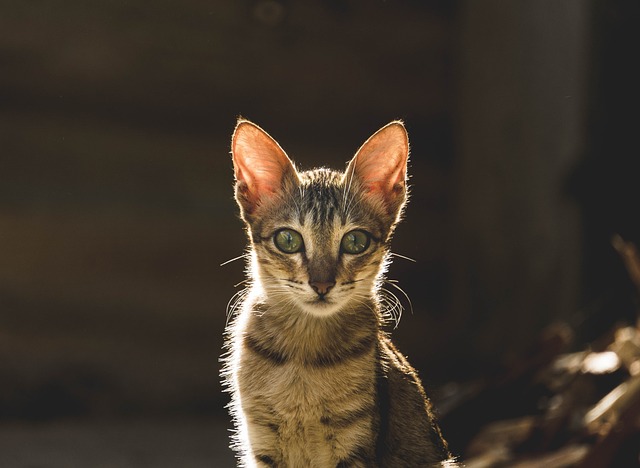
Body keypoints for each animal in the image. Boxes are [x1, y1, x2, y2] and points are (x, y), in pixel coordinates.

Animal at [222, 119, 458, 466]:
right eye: (288, 240)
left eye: (355, 242)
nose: (322, 285)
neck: (303, 358)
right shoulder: (262, 442)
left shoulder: (354, 444)